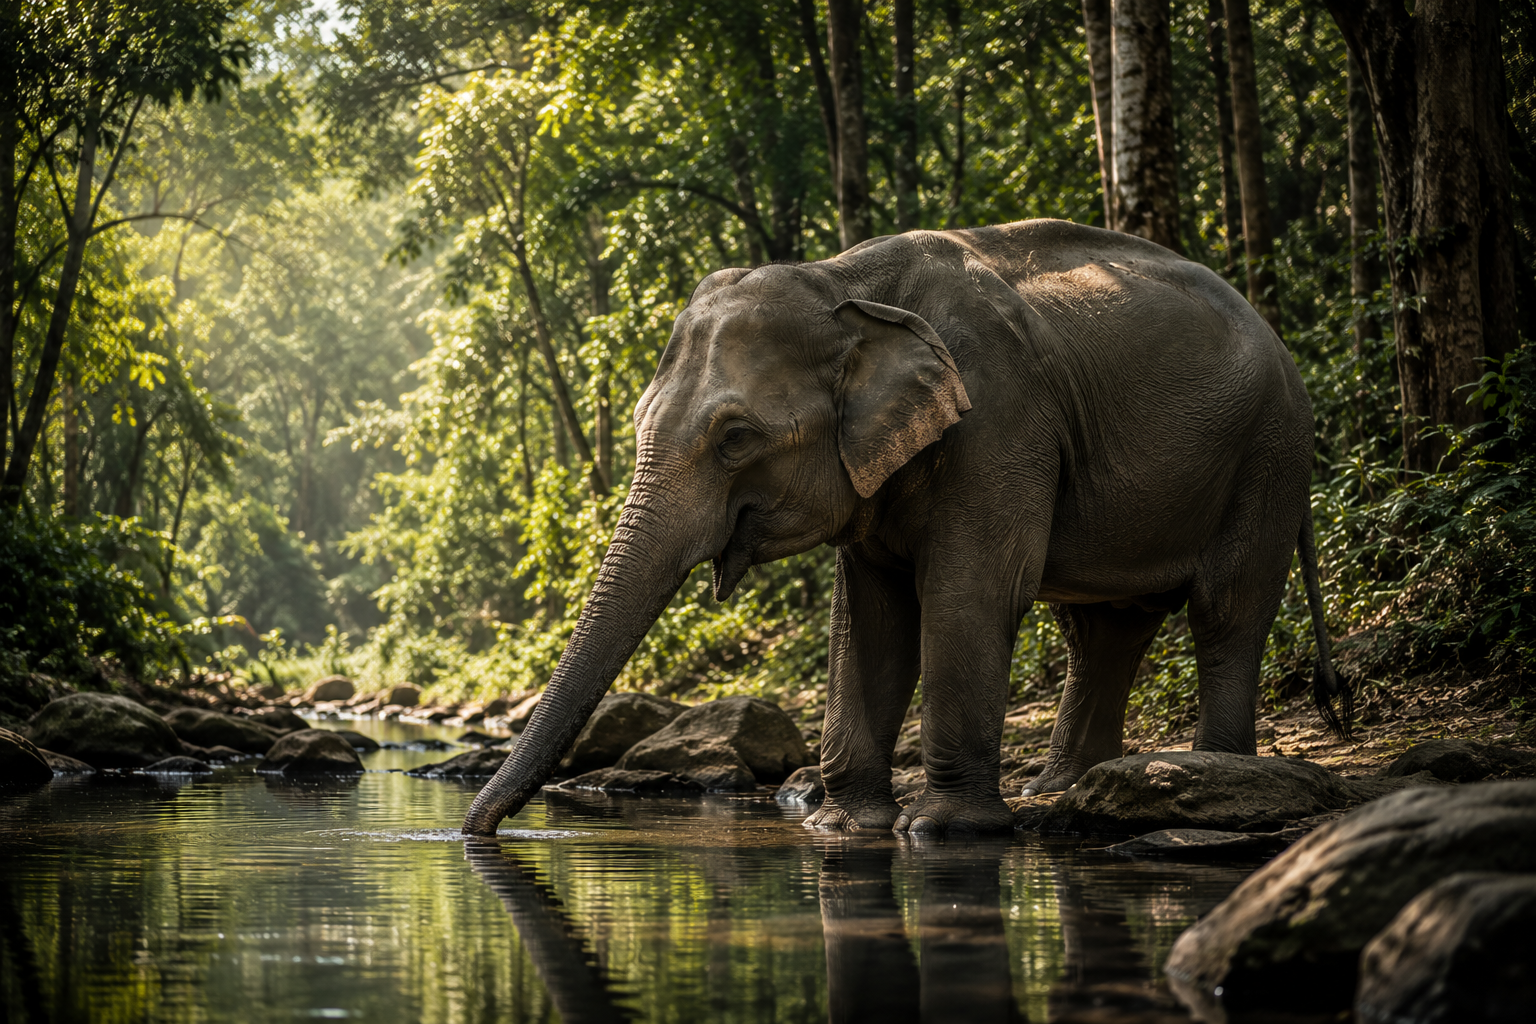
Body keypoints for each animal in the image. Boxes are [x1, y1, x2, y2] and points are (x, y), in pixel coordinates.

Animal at [462, 218, 1349, 837]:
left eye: (736, 437)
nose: (475, 837)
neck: (844, 282)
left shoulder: (1000, 420)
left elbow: (965, 593)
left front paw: (943, 832)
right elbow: (870, 616)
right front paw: (843, 828)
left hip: (1269, 452)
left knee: (1226, 608)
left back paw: (1212, 778)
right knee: (1104, 628)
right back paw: (1061, 791)